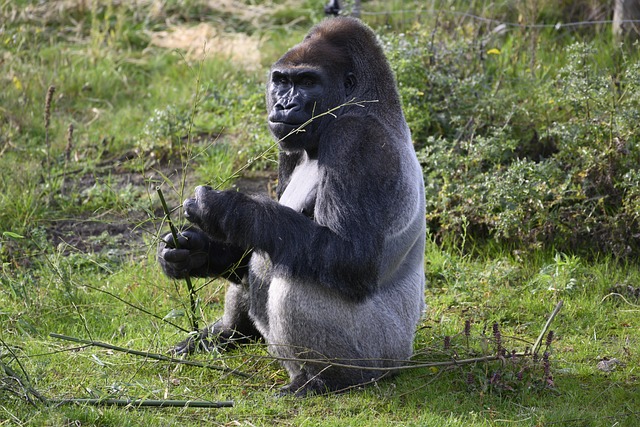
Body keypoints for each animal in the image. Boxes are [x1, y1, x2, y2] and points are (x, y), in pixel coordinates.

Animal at [156, 17, 424, 398]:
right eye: (282, 81)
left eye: (308, 82)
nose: (283, 105)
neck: (364, 102)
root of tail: (406, 354)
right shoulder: (290, 148)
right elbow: (254, 242)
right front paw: (193, 252)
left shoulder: (357, 139)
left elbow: (351, 257)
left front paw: (227, 209)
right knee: (266, 251)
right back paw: (228, 333)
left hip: (381, 356)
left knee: (295, 269)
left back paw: (325, 379)